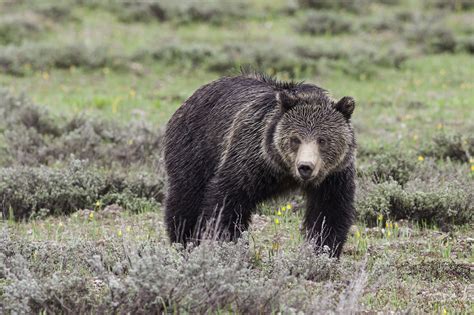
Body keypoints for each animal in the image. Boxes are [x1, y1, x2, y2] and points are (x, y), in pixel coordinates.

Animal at [165, 72, 354, 260]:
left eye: (322, 140)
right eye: (295, 139)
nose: (305, 167)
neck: (285, 172)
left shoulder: (333, 177)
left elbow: (329, 213)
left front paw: (323, 251)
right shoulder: (250, 158)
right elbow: (227, 200)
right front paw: (226, 244)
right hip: (195, 149)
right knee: (186, 198)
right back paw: (184, 241)